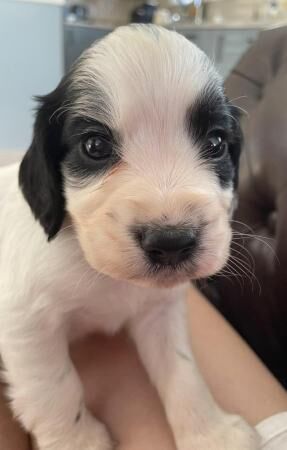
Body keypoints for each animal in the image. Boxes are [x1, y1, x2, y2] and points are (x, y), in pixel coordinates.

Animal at [0, 25, 260, 450]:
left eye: (217, 142)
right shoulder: (25, 320)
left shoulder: (160, 309)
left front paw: (210, 431)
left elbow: (183, 369)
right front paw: (77, 440)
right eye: (95, 146)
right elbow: (55, 387)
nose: (172, 242)